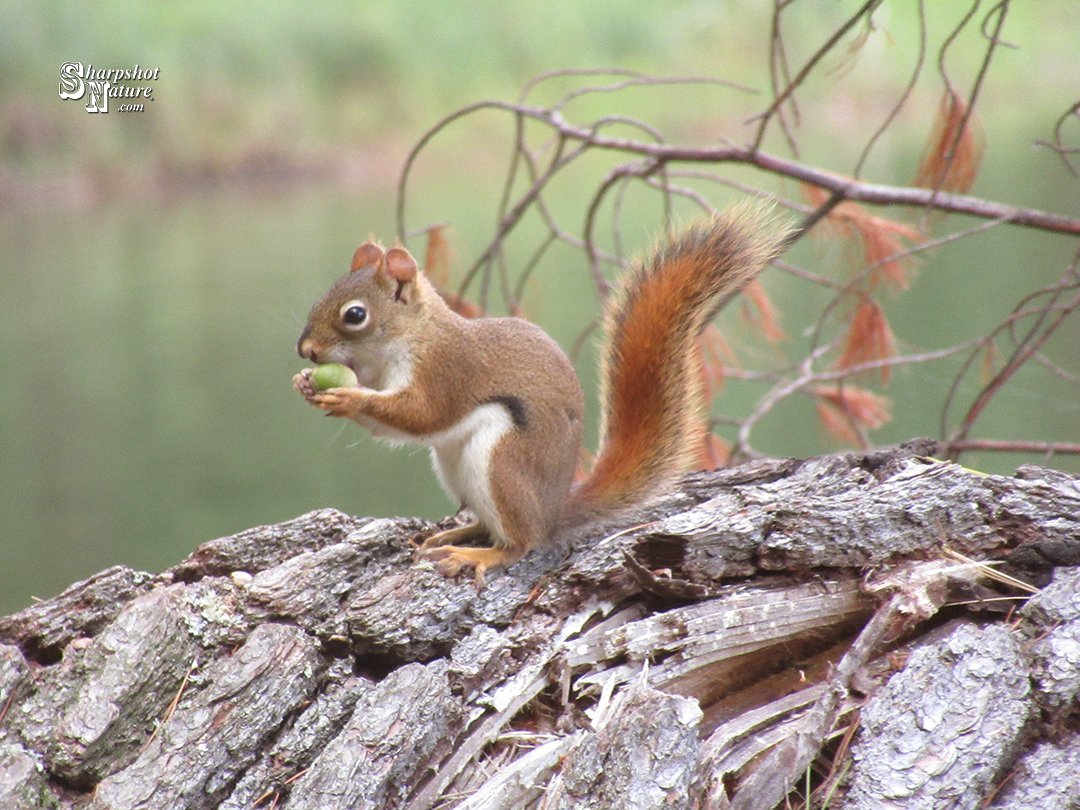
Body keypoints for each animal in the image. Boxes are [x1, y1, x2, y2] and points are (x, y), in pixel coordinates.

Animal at [294, 206, 791, 585]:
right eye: (318, 300)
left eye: (355, 315)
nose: (307, 350)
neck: (407, 338)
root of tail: (553, 511)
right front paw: (306, 383)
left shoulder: (447, 371)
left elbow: (421, 415)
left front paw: (347, 398)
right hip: (456, 470)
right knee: (490, 523)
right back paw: (457, 534)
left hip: (503, 462)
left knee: (521, 542)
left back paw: (479, 554)